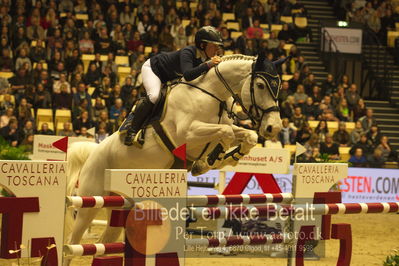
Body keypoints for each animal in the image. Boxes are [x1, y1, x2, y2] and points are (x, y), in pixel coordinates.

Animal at [65, 53, 282, 262]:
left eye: (278, 87)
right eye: (261, 85)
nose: (274, 128)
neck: (213, 94)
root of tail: (93, 152)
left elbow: (248, 135)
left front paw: (225, 157)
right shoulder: (188, 133)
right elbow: (226, 133)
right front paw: (208, 161)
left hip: (119, 206)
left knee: (103, 245)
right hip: (89, 204)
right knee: (72, 244)